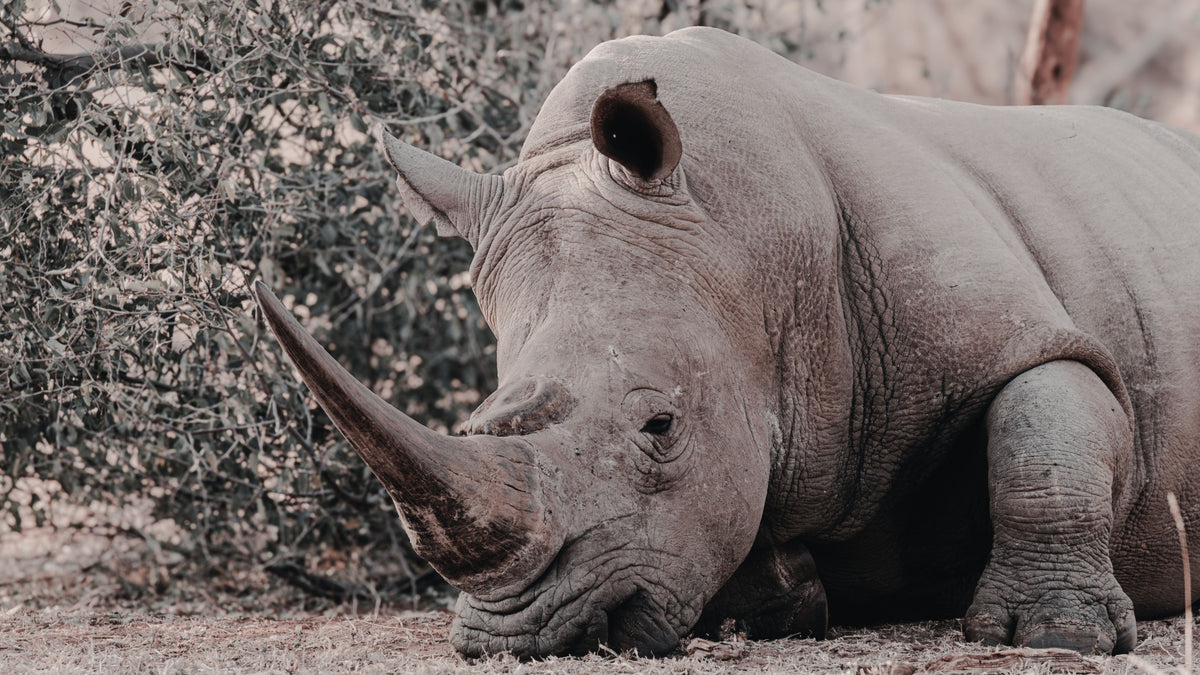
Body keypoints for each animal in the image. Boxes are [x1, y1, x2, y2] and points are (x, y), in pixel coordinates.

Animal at [254, 27, 1200, 657]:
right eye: (480, 420)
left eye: (660, 426)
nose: (514, 634)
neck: (757, 247)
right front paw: (774, 609)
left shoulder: (1016, 326)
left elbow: (1046, 427)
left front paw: (1059, 635)